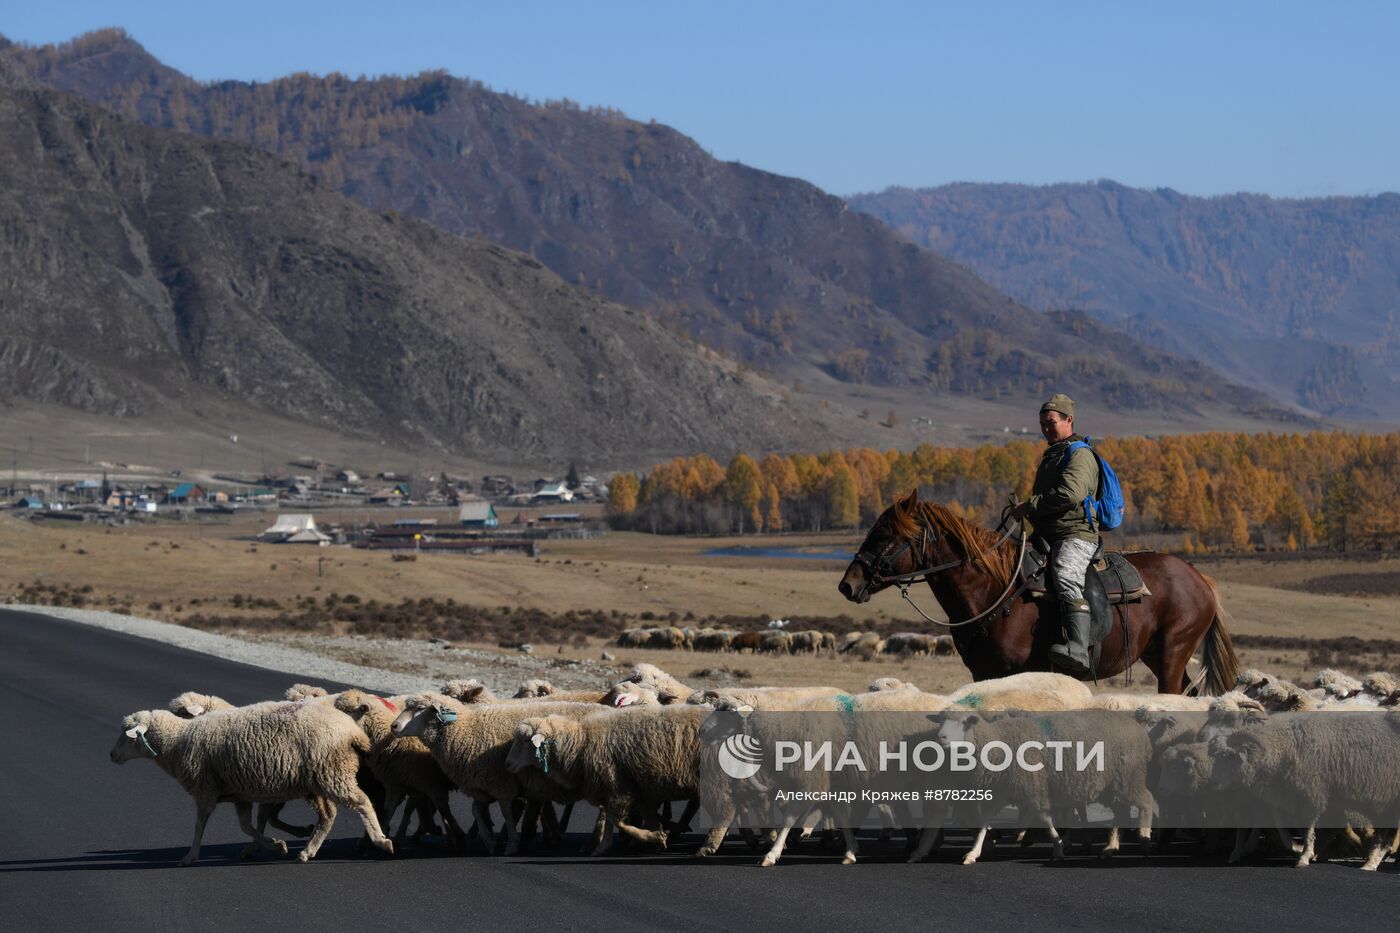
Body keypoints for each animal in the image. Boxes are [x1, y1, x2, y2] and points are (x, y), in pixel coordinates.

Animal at [504, 706, 728, 857]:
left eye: (525, 741)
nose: (507, 764)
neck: (581, 743)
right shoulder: (633, 788)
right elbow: (630, 818)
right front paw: (657, 839)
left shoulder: (617, 788)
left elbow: (617, 821)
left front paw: (652, 837)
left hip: (715, 778)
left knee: (726, 811)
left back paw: (708, 846)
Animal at [834, 487, 1243, 689]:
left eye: (884, 534)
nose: (848, 585)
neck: (994, 592)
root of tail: (1200, 579)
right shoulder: (984, 674)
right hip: (1156, 655)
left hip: (1174, 651)